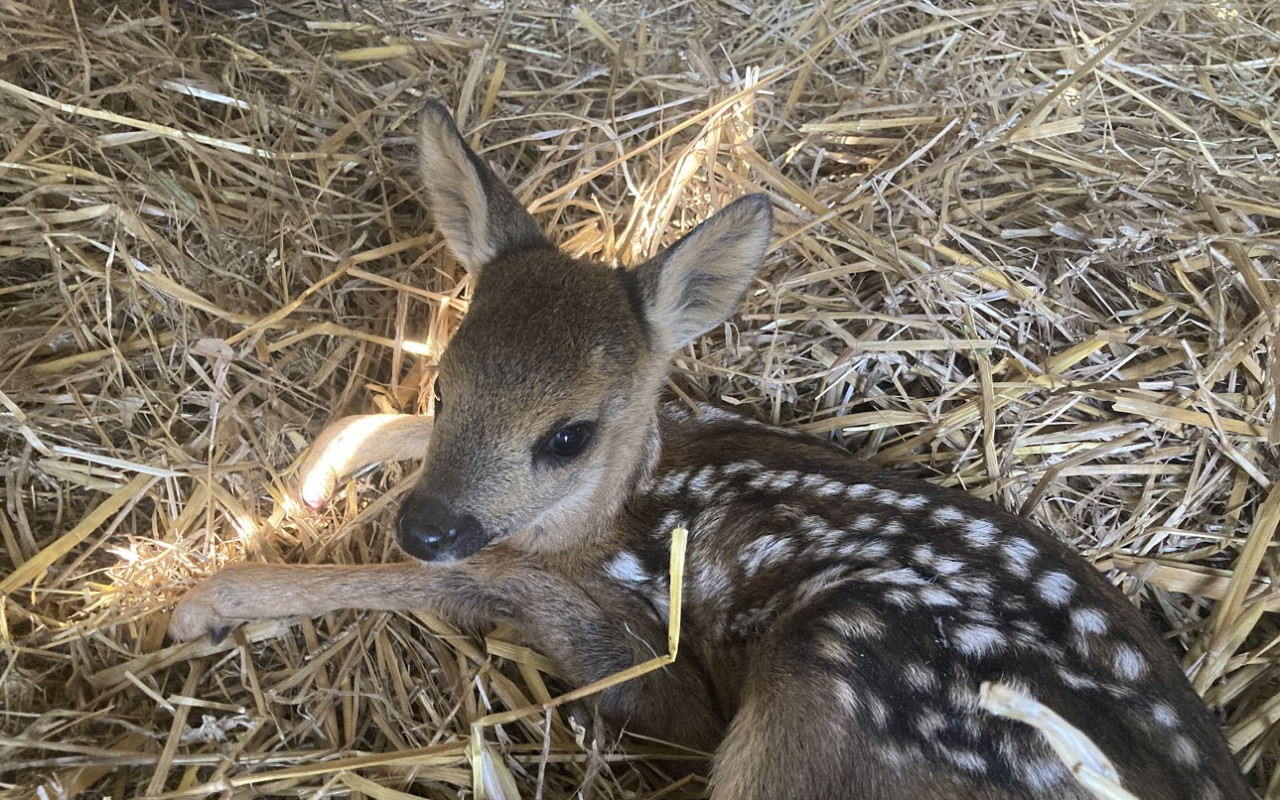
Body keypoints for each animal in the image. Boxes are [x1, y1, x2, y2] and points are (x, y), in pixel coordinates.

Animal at [170, 101, 1249, 798]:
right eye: (443, 384)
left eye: (568, 434)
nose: (425, 523)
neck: (627, 503)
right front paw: (310, 480)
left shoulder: (652, 652)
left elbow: (469, 584)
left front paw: (207, 600)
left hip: (840, 673)